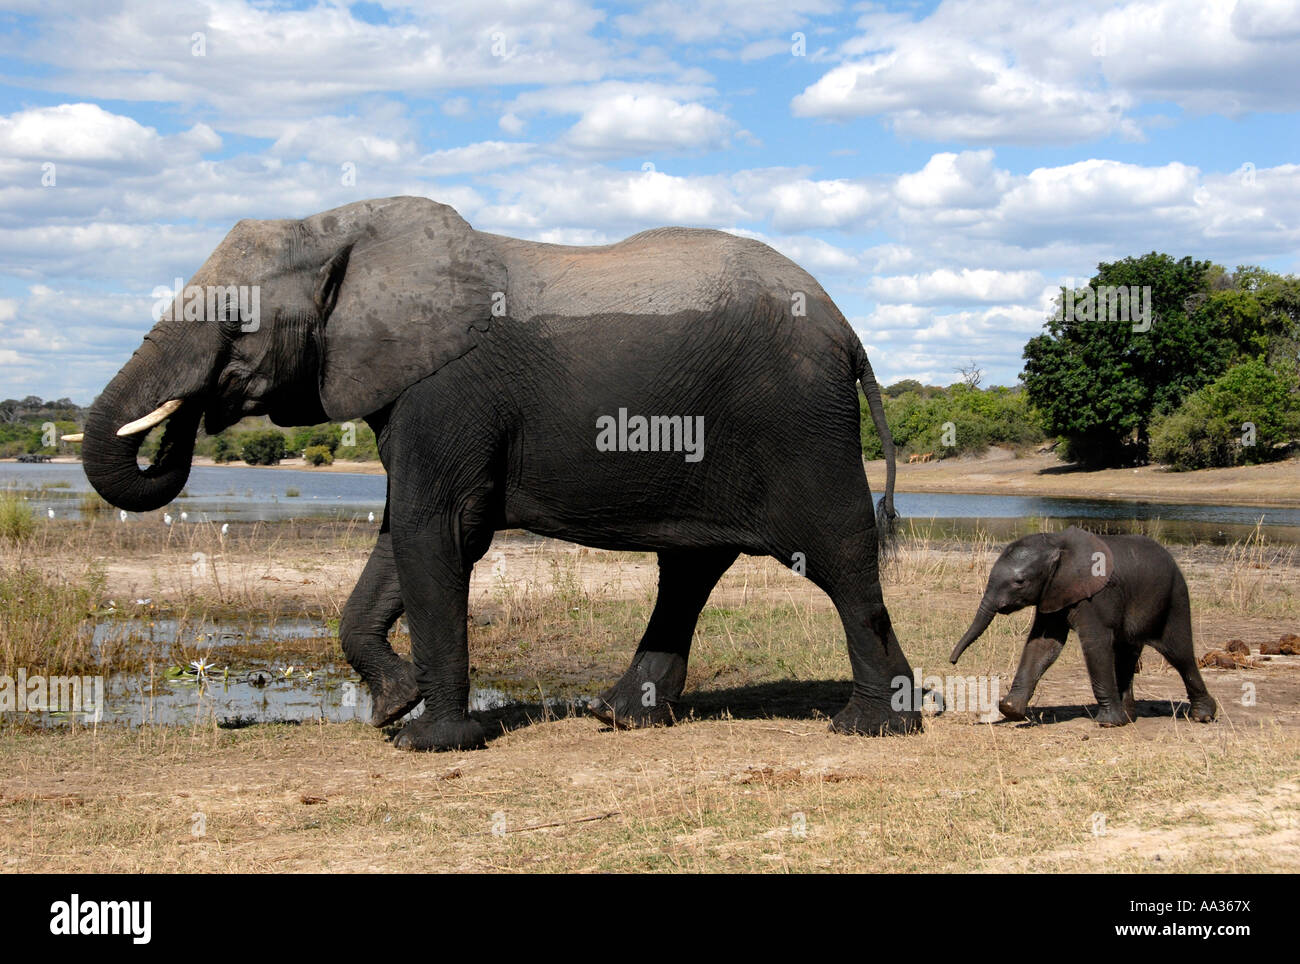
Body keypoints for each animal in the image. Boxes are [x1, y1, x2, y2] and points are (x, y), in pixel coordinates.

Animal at [79, 195, 919, 750]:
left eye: (238, 320)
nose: (193, 414)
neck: (345, 230)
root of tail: (848, 330)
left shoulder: (448, 391)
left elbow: (437, 532)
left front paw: (427, 741)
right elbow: (404, 535)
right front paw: (392, 708)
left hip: (801, 421)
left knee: (838, 554)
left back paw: (867, 727)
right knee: (691, 567)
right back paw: (622, 718)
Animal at [949, 527, 1217, 727]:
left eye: (1020, 582)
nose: (952, 662)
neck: (1056, 544)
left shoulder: (1096, 595)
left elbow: (1094, 644)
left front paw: (1108, 723)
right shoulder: (1053, 591)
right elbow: (1043, 644)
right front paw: (1010, 710)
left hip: (1174, 599)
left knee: (1179, 653)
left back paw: (1202, 716)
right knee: (1127, 655)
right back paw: (1129, 717)